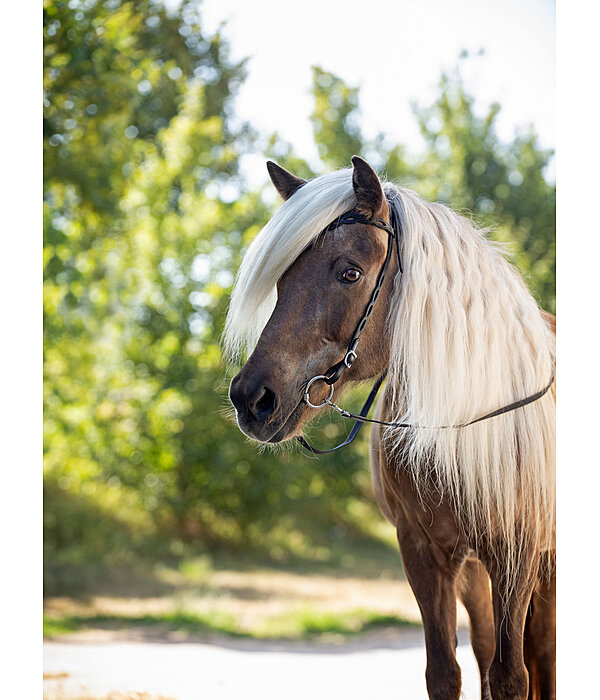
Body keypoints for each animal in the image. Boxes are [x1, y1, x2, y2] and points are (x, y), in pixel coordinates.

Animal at [223, 156, 556, 696]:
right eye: (281, 278)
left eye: (350, 273)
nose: (252, 398)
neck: (458, 426)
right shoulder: (424, 553)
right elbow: (446, 672)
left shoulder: (518, 556)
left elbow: (512, 677)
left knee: (541, 653)